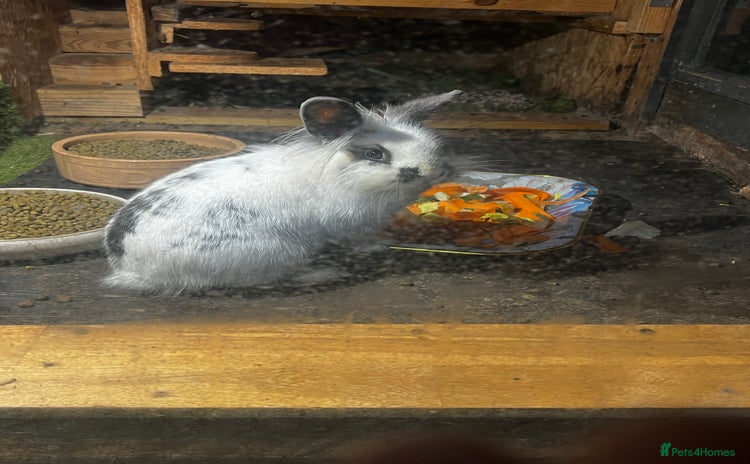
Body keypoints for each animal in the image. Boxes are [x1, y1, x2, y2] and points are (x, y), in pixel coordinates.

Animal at [102, 90, 462, 294]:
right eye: (375, 154)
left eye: (433, 146)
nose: (434, 171)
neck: (338, 173)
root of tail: (130, 268)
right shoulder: (344, 225)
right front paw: (373, 248)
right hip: (274, 252)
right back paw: (322, 273)